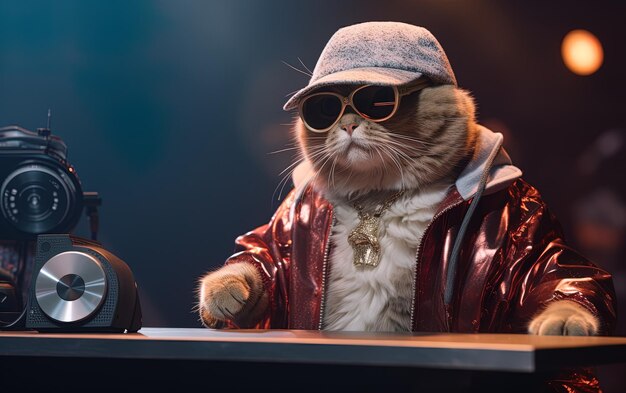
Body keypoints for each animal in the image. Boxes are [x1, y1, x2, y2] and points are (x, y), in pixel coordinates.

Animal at [199, 83, 600, 334]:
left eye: (376, 102)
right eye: (326, 109)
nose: (348, 123)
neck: (378, 197)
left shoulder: (535, 239)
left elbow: (561, 278)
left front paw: (566, 319)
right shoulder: (279, 238)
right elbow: (256, 261)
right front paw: (224, 289)